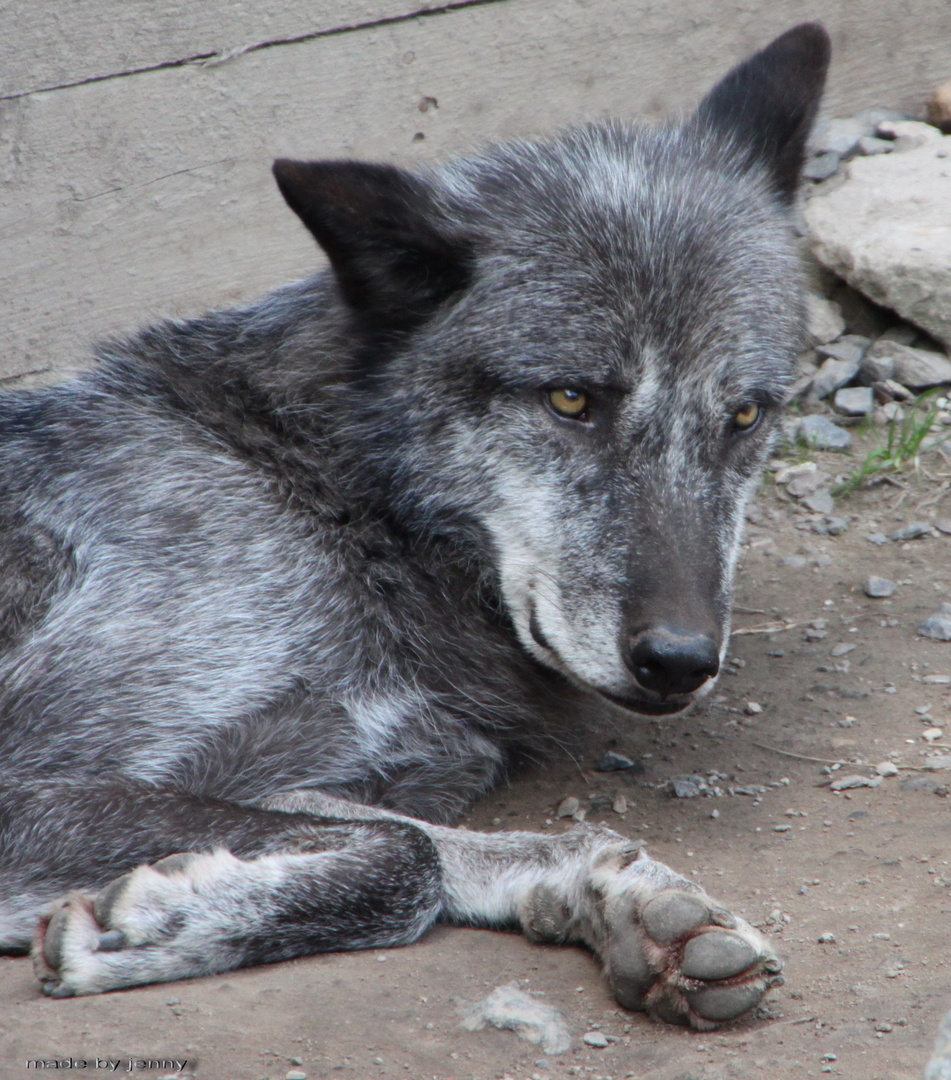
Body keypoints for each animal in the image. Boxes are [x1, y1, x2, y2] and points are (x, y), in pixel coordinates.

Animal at [0, 21, 824, 1023]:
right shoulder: (37, 781)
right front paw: (163, 925)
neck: (327, 497)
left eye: (744, 415)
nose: (677, 661)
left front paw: (625, 897)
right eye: (570, 399)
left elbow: (433, 835)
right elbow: (411, 856)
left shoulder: (309, 774)